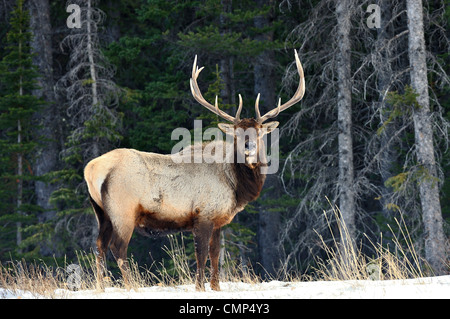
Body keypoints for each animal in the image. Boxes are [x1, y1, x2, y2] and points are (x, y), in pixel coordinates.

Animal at [83, 50, 306, 292]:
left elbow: (216, 253)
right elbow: (201, 254)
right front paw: (200, 286)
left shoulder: (218, 219)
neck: (235, 185)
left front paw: (216, 287)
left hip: (101, 212)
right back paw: (132, 286)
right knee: (118, 247)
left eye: (258, 132)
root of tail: (91, 169)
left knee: (99, 245)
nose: (249, 147)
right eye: (237, 133)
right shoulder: (203, 214)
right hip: (123, 210)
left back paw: (100, 287)